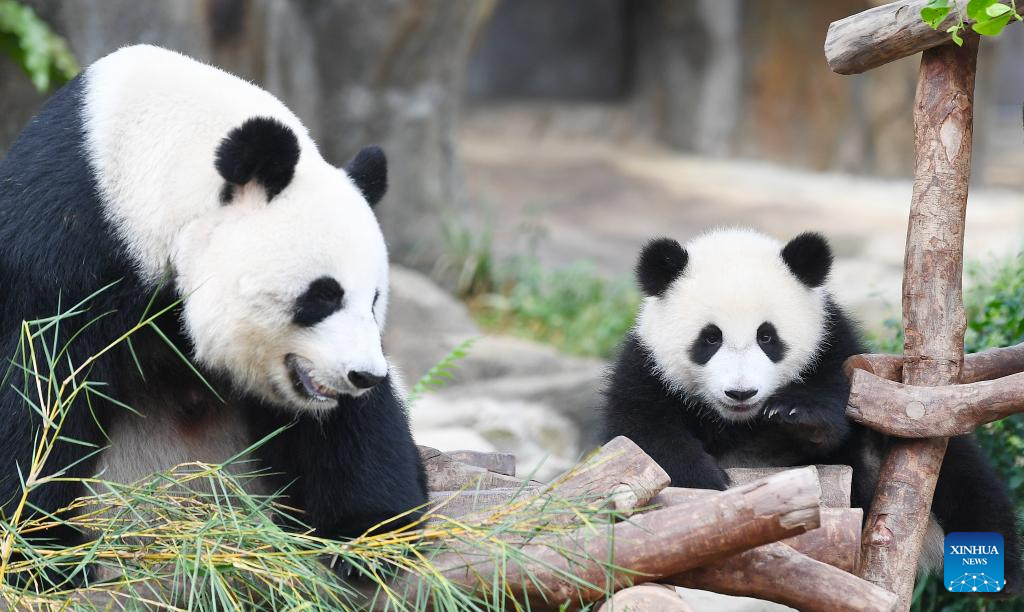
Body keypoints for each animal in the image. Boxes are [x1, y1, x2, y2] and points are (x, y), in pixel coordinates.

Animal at [0, 45, 427, 572]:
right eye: (322, 296)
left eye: (373, 300)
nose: (363, 376)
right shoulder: (64, 242)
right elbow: (42, 381)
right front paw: (41, 551)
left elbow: (353, 427)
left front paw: (371, 535)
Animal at [601, 227, 1021, 591]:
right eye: (710, 338)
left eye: (767, 336)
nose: (741, 392)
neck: (741, 424)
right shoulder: (646, 370)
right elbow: (642, 439)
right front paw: (710, 486)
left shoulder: (836, 351)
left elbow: (840, 407)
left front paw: (799, 417)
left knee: (963, 478)